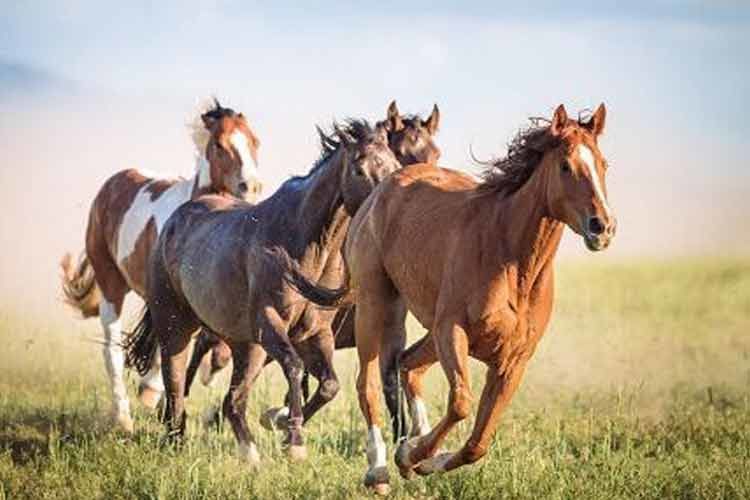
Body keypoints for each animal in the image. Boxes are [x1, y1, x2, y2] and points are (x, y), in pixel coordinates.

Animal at [59, 99, 262, 433]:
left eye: (255, 141)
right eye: (220, 145)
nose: (253, 186)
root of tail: (112, 184)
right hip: (111, 284)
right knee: (113, 349)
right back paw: (124, 418)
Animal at [124, 120, 401, 465]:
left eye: (396, 165)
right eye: (360, 169)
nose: (386, 211)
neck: (303, 245)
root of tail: (173, 222)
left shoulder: (316, 334)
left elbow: (329, 386)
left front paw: (280, 424)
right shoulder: (269, 324)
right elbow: (295, 367)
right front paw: (293, 440)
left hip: (245, 346)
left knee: (233, 401)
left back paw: (249, 453)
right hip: (177, 327)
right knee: (176, 387)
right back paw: (176, 440)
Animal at [280, 104, 616, 494]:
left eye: (603, 164)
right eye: (565, 165)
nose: (602, 227)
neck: (511, 262)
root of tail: (378, 195)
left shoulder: (513, 360)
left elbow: (477, 442)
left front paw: (422, 458)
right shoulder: (452, 332)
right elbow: (460, 405)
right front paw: (410, 455)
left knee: (407, 364)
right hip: (377, 306)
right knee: (370, 382)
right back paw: (378, 470)